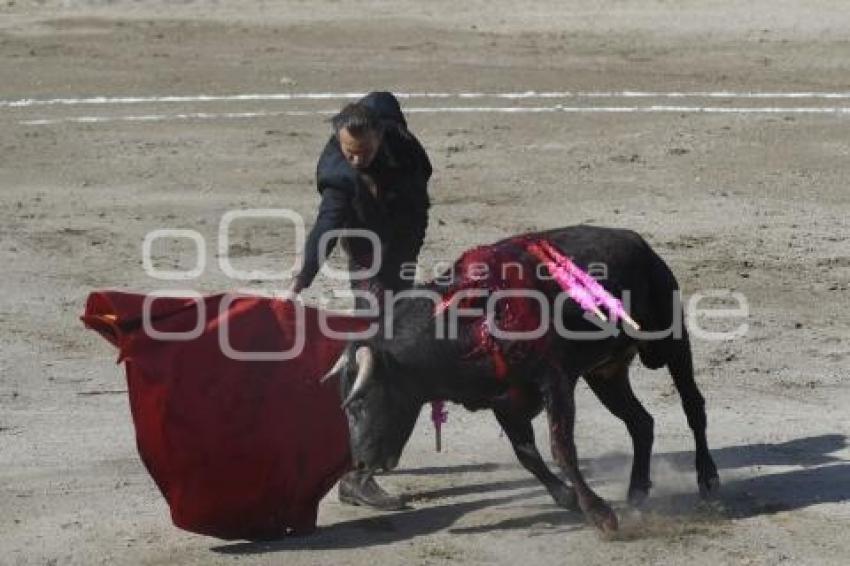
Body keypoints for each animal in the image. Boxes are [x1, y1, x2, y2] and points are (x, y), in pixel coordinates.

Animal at [322, 226, 720, 532]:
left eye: (360, 402)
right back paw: (637, 491)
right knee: (641, 422)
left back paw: (708, 479)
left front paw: (599, 514)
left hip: (669, 344)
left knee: (693, 406)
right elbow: (527, 454)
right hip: (605, 374)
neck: (466, 325)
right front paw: (569, 499)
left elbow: (562, 449)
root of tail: (639, 243)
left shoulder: (555, 383)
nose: (359, 464)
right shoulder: (503, 402)